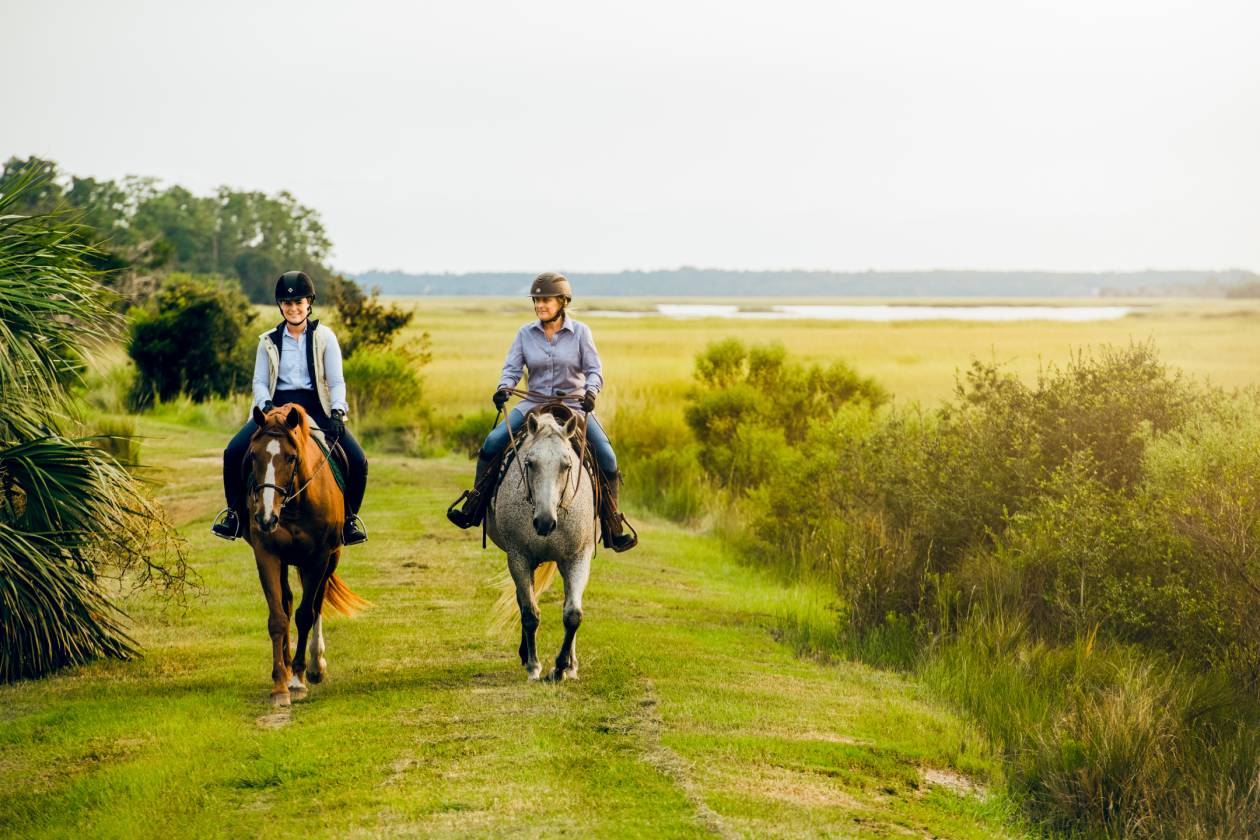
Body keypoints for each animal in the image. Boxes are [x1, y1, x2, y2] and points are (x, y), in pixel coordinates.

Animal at [244, 403, 366, 706]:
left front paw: (299, 679)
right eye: (253, 455)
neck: (293, 503)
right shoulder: (266, 554)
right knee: (287, 602)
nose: (265, 518)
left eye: (290, 457)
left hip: (331, 558)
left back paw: (314, 666)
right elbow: (278, 618)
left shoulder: (319, 557)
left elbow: (305, 615)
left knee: (317, 603)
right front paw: (280, 683)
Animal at [488, 410, 597, 681]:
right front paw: (534, 666)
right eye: (529, 463)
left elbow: (573, 614)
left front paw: (561, 667)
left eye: (566, 466)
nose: (545, 522)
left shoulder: (578, 557)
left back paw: (571, 666)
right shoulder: (518, 557)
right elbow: (530, 614)